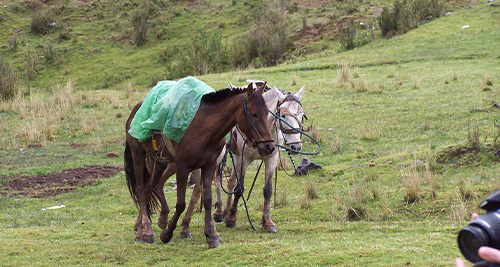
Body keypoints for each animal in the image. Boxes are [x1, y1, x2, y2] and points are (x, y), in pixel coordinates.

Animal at [124, 82, 274, 249]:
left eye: (266, 113)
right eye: (254, 114)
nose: (269, 147)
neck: (203, 127)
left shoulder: (208, 166)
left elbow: (207, 200)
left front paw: (211, 235)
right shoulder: (183, 168)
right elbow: (181, 204)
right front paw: (167, 233)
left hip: (159, 162)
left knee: (150, 188)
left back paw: (145, 226)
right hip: (138, 154)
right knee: (141, 190)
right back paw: (145, 232)